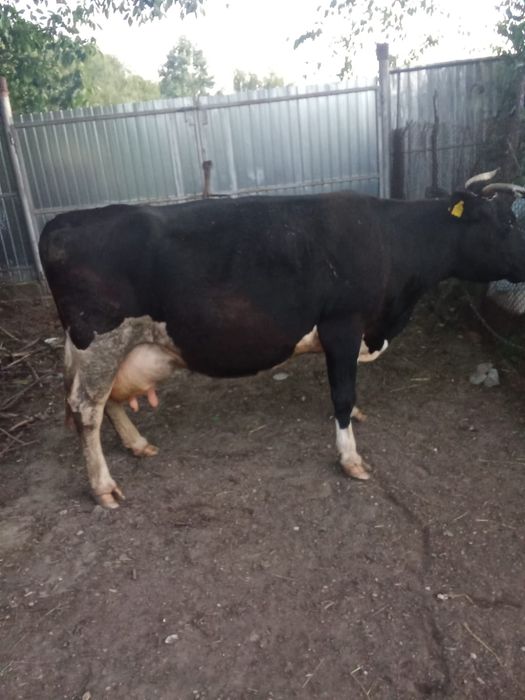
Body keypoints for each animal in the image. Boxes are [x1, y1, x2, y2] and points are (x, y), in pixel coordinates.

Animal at [39, 173, 525, 508]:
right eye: (504, 223)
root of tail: (63, 222)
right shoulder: (343, 323)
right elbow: (342, 394)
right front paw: (350, 458)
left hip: (112, 346)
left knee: (106, 401)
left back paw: (137, 444)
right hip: (100, 338)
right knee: (87, 409)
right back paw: (103, 487)